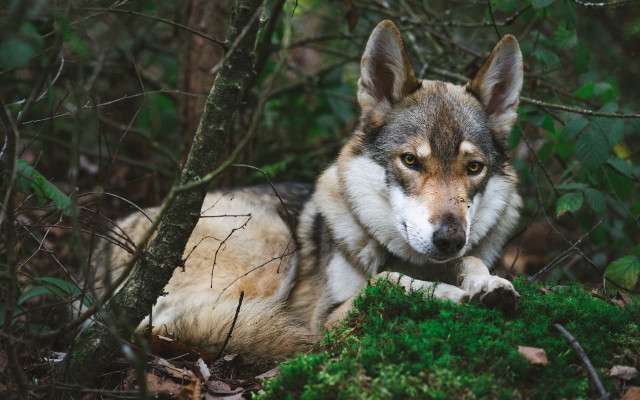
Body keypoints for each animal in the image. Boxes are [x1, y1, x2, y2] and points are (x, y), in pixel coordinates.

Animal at [97, 20, 523, 359]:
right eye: (410, 161)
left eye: (473, 168)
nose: (450, 238)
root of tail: (111, 237)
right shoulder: (328, 318)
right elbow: (386, 281)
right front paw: (450, 295)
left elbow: (471, 261)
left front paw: (489, 284)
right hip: (273, 249)